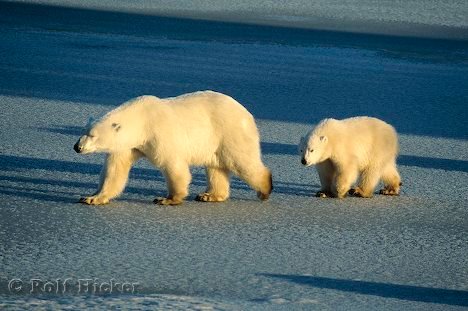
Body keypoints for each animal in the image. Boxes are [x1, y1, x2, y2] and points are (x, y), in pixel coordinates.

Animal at [71, 91, 272, 206]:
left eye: (92, 135)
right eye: (84, 131)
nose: (77, 147)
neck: (141, 120)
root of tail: (246, 112)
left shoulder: (159, 133)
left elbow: (172, 164)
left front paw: (167, 199)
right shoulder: (129, 145)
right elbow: (114, 171)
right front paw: (91, 198)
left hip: (228, 131)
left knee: (242, 161)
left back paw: (265, 189)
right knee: (216, 167)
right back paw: (209, 195)